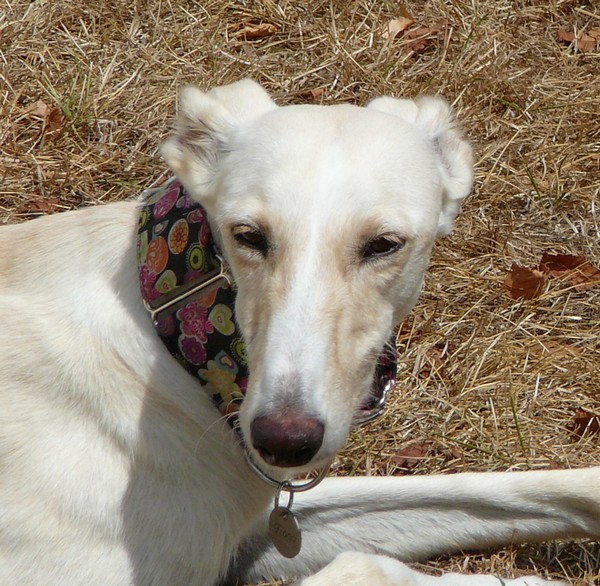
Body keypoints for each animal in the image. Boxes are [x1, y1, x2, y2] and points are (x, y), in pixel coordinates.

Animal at [0, 78, 596, 584]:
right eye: (248, 235)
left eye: (384, 244)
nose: (284, 440)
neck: (173, 344)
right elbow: (367, 565)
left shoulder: (253, 519)